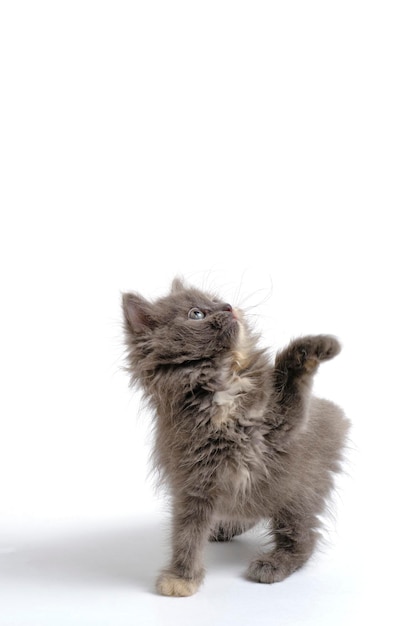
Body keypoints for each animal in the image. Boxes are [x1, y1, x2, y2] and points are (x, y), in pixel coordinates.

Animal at [121, 276, 348, 596]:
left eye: (217, 299)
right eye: (196, 314)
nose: (228, 307)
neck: (225, 384)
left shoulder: (284, 426)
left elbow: (289, 375)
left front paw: (314, 348)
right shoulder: (193, 481)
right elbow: (186, 534)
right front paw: (181, 577)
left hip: (299, 491)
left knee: (300, 537)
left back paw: (272, 562)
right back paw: (232, 534)